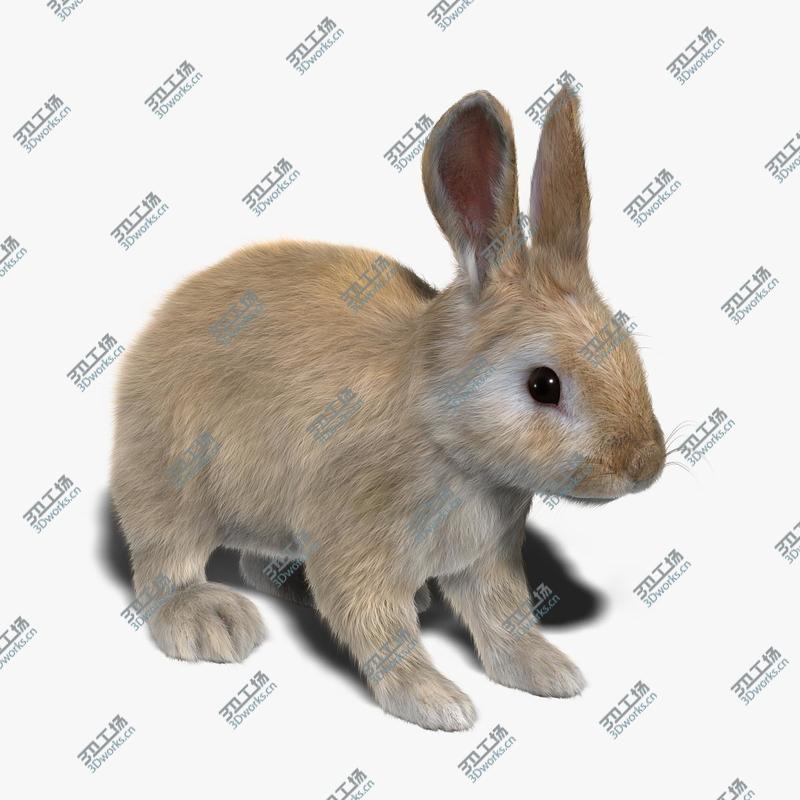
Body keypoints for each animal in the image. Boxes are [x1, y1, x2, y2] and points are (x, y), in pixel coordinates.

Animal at [110, 85, 666, 732]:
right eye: (544, 384)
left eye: (628, 347)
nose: (645, 465)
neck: (440, 430)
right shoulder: (355, 543)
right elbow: (382, 630)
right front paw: (436, 702)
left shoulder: (489, 559)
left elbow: (503, 617)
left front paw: (546, 671)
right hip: (172, 482)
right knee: (164, 563)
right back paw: (210, 621)